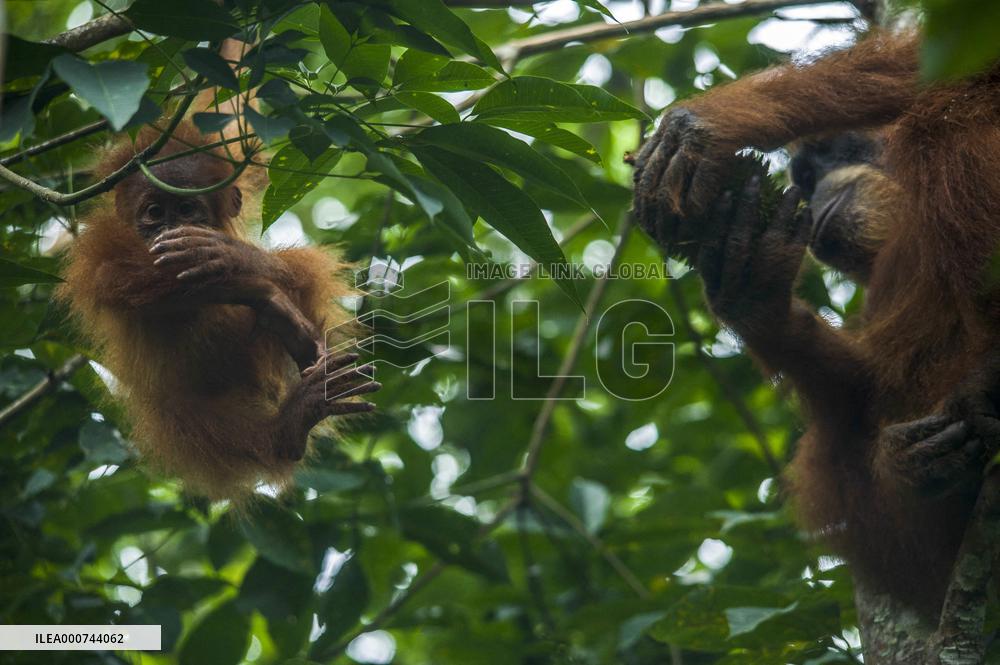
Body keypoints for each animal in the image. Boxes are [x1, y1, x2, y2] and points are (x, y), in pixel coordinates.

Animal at [57, 124, 381, 501]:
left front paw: (233, 255)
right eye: (154, 212)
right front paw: (258, 289)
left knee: (300, 271)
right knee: (195, 417)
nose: (170, 230)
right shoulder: (101, 242)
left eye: (186, 209)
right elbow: (112, 274)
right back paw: (288, 427)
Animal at [631, 30, 1000, 614]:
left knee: (939, 119)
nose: (813, 193)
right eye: (802, 184)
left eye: (818, 165)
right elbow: (863, 393)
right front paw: (750, 285)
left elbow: (953, 62)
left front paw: (706, 124)